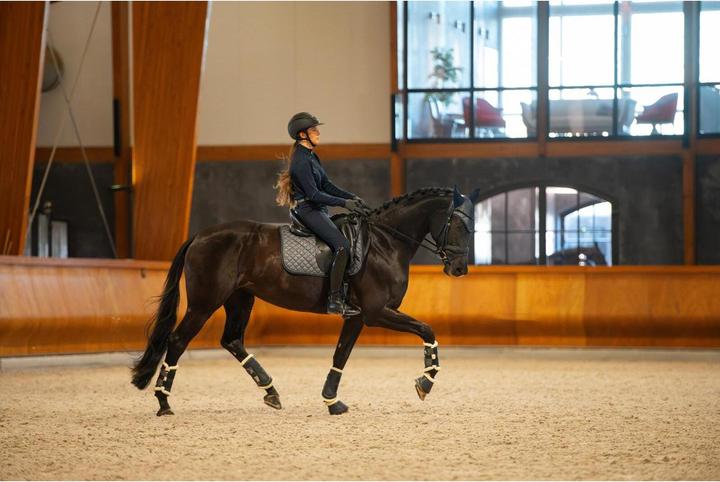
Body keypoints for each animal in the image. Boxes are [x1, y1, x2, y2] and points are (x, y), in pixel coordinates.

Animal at [131, 186, 479, 416]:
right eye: (459, 225)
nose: (459, 269)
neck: (385, 242)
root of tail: (200, 236)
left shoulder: (358, 316)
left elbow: (341, 355)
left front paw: (332, 401)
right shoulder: (377, 312)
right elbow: (427, 330)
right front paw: (425, 382)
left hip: (240, 299)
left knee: (231, 340)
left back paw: (271, 391)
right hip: (205, 302)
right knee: (177, 340)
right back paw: (163, 402)